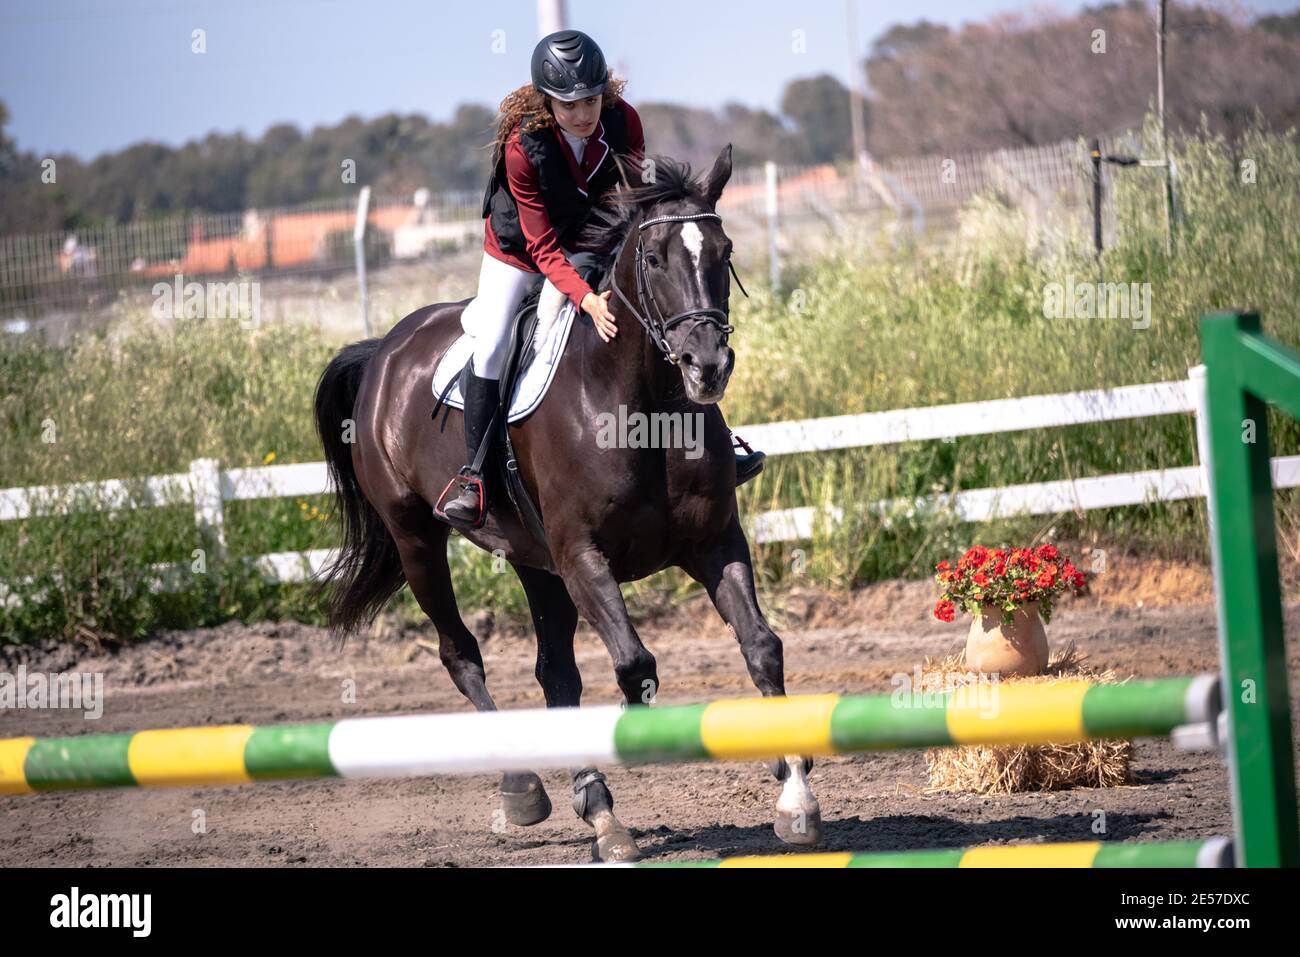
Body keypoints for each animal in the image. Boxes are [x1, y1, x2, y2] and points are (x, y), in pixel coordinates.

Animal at [312, 147, 811, 858]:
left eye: (724, 250)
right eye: (652, 257)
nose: (707, 365)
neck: (642, 405)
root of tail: (382, 351)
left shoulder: (714, 543)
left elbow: (762, 646)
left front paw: (794, 789)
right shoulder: (583, 556)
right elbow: (634, 664)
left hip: (533, 557)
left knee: (555, 673)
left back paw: (591, 803)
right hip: (418, 540)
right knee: (461, 653)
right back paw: (526, 789)